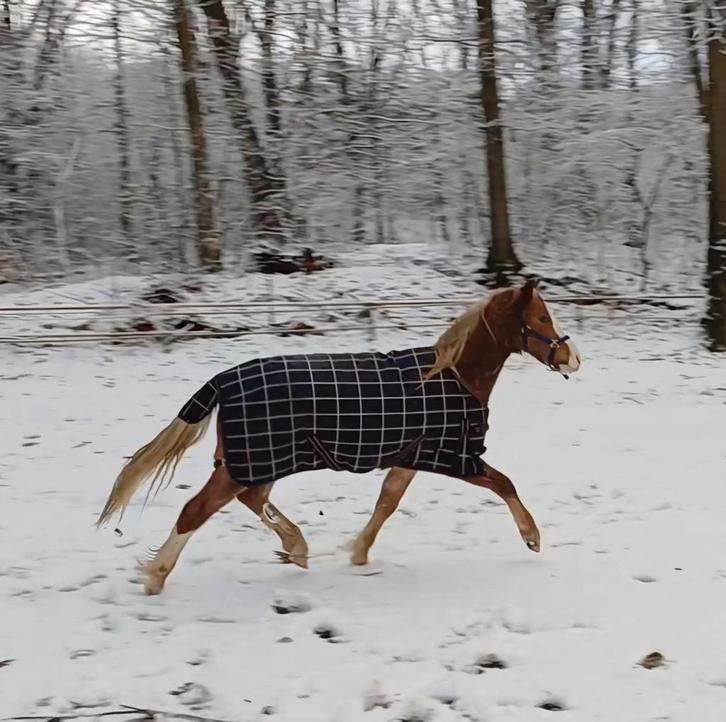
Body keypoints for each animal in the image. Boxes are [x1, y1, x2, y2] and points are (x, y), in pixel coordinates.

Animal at [97, 280, 581, 595]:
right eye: (541, 317)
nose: (573, 358)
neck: (453, 377)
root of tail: (225, 378)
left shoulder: (411, 455)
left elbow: (387, 501)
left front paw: (359, 553)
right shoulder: (455, 456)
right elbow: (504, 484)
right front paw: (532, 537)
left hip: (251, 462)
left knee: (251, 499)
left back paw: (296, 548)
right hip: (248, 462)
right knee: (196, 510)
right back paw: (156, 576)